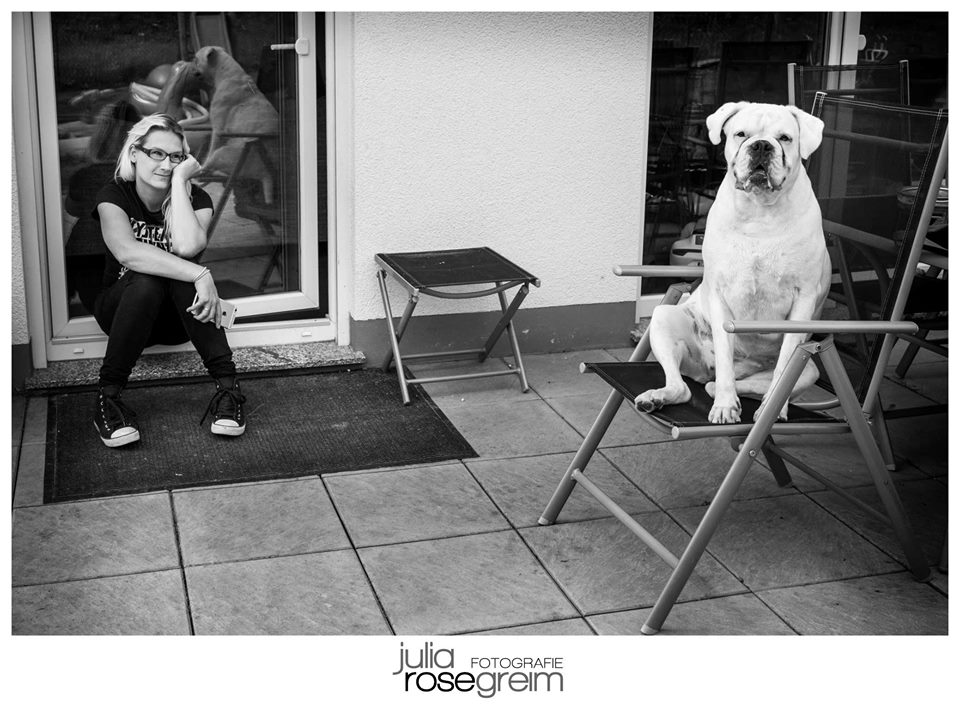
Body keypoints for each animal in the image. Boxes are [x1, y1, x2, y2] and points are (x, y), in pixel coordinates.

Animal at [632, 101, 828, 424]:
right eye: (741, 134)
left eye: (785, 138)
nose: (761, 145)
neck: (761, 211)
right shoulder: (720, 294)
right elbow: (724, 356)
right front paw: (724, 406)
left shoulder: (803, 300)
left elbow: (784, 366)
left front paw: (773, 409)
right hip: (663, 318)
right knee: (686, 384)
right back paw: (660, 396)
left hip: (810, 370)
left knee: (743, 383)